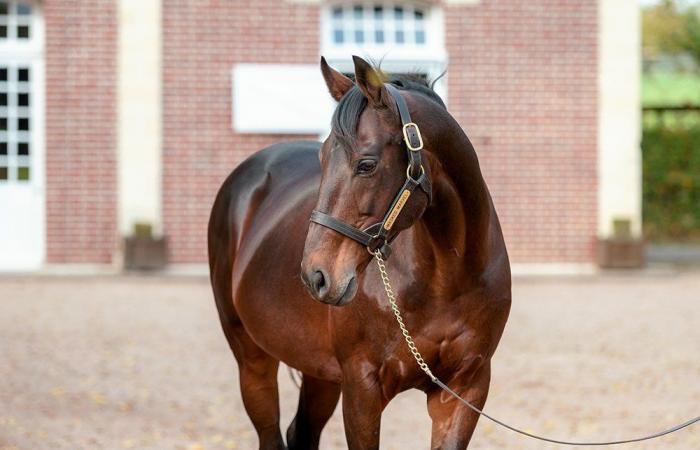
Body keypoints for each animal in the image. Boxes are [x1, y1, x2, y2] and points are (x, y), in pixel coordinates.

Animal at [206, 56, 508, 450]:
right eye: (321, 159)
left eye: (367, 164)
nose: (316, 276)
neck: (448, 275)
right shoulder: (361, 387)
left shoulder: (466, 388)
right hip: (251, 357)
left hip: (319, 372)